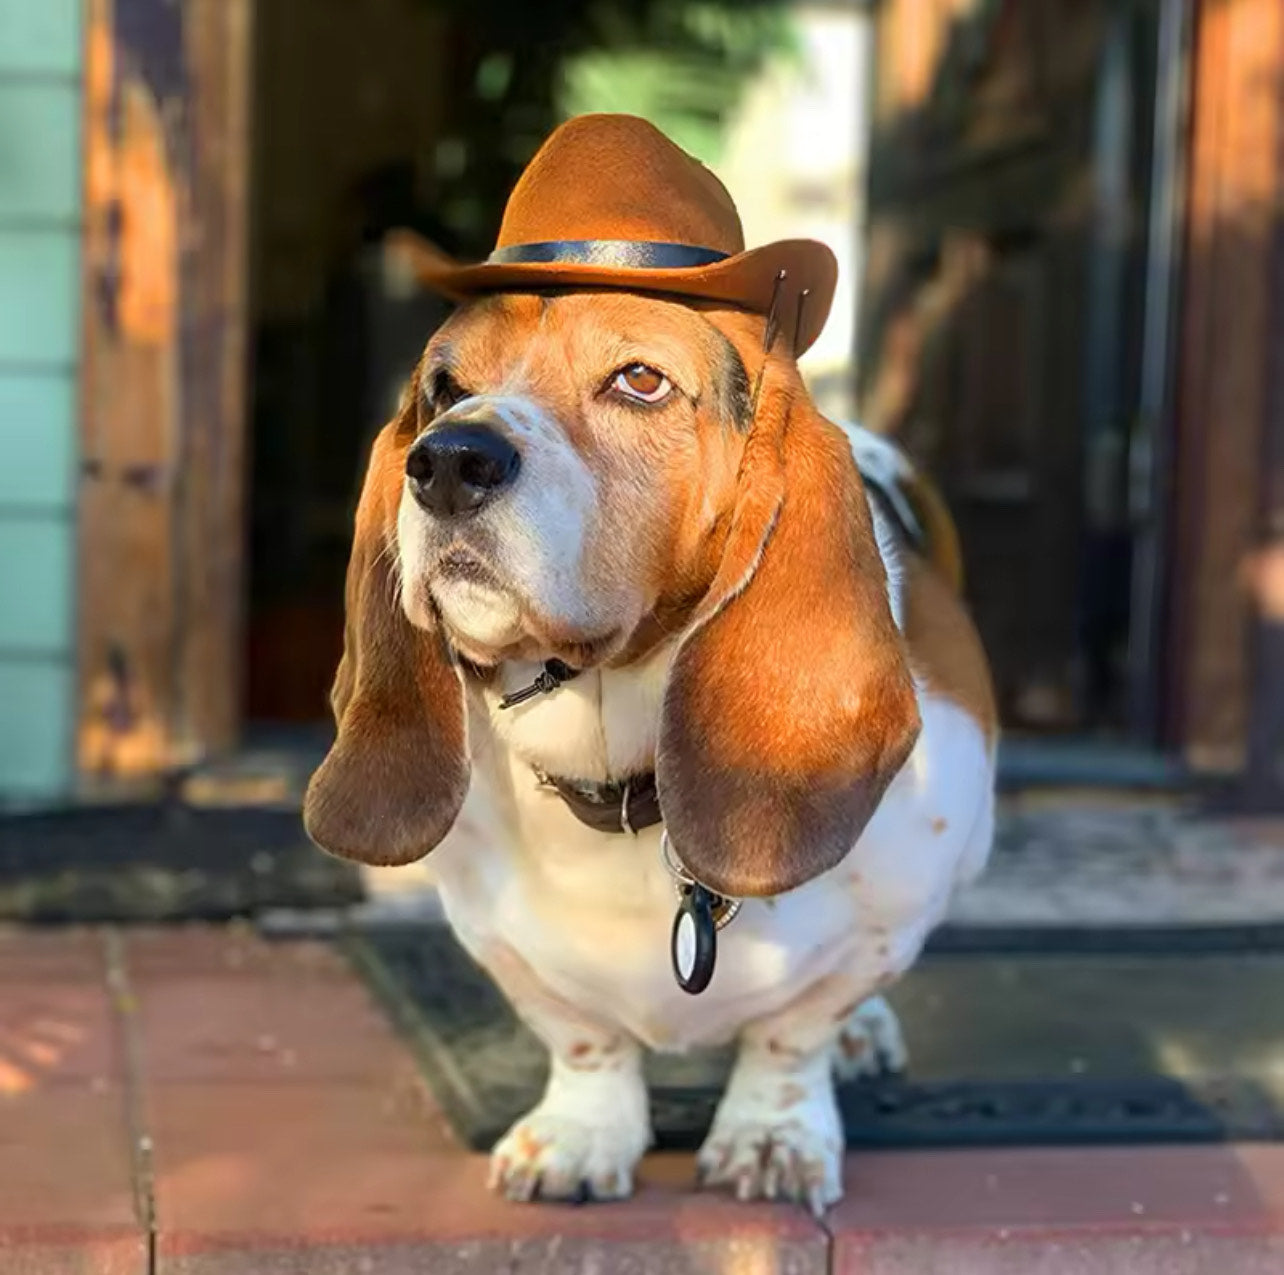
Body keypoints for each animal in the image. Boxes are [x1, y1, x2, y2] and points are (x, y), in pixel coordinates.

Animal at [300, 114, 991, 1206]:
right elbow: (581, 1036)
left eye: (638, 380)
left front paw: (773, 1137)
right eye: (443, 388)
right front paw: (582, 1136)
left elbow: (795, 1033)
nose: (447, 460)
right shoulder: (495, 937)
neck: (619, 776)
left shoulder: (893, 915)